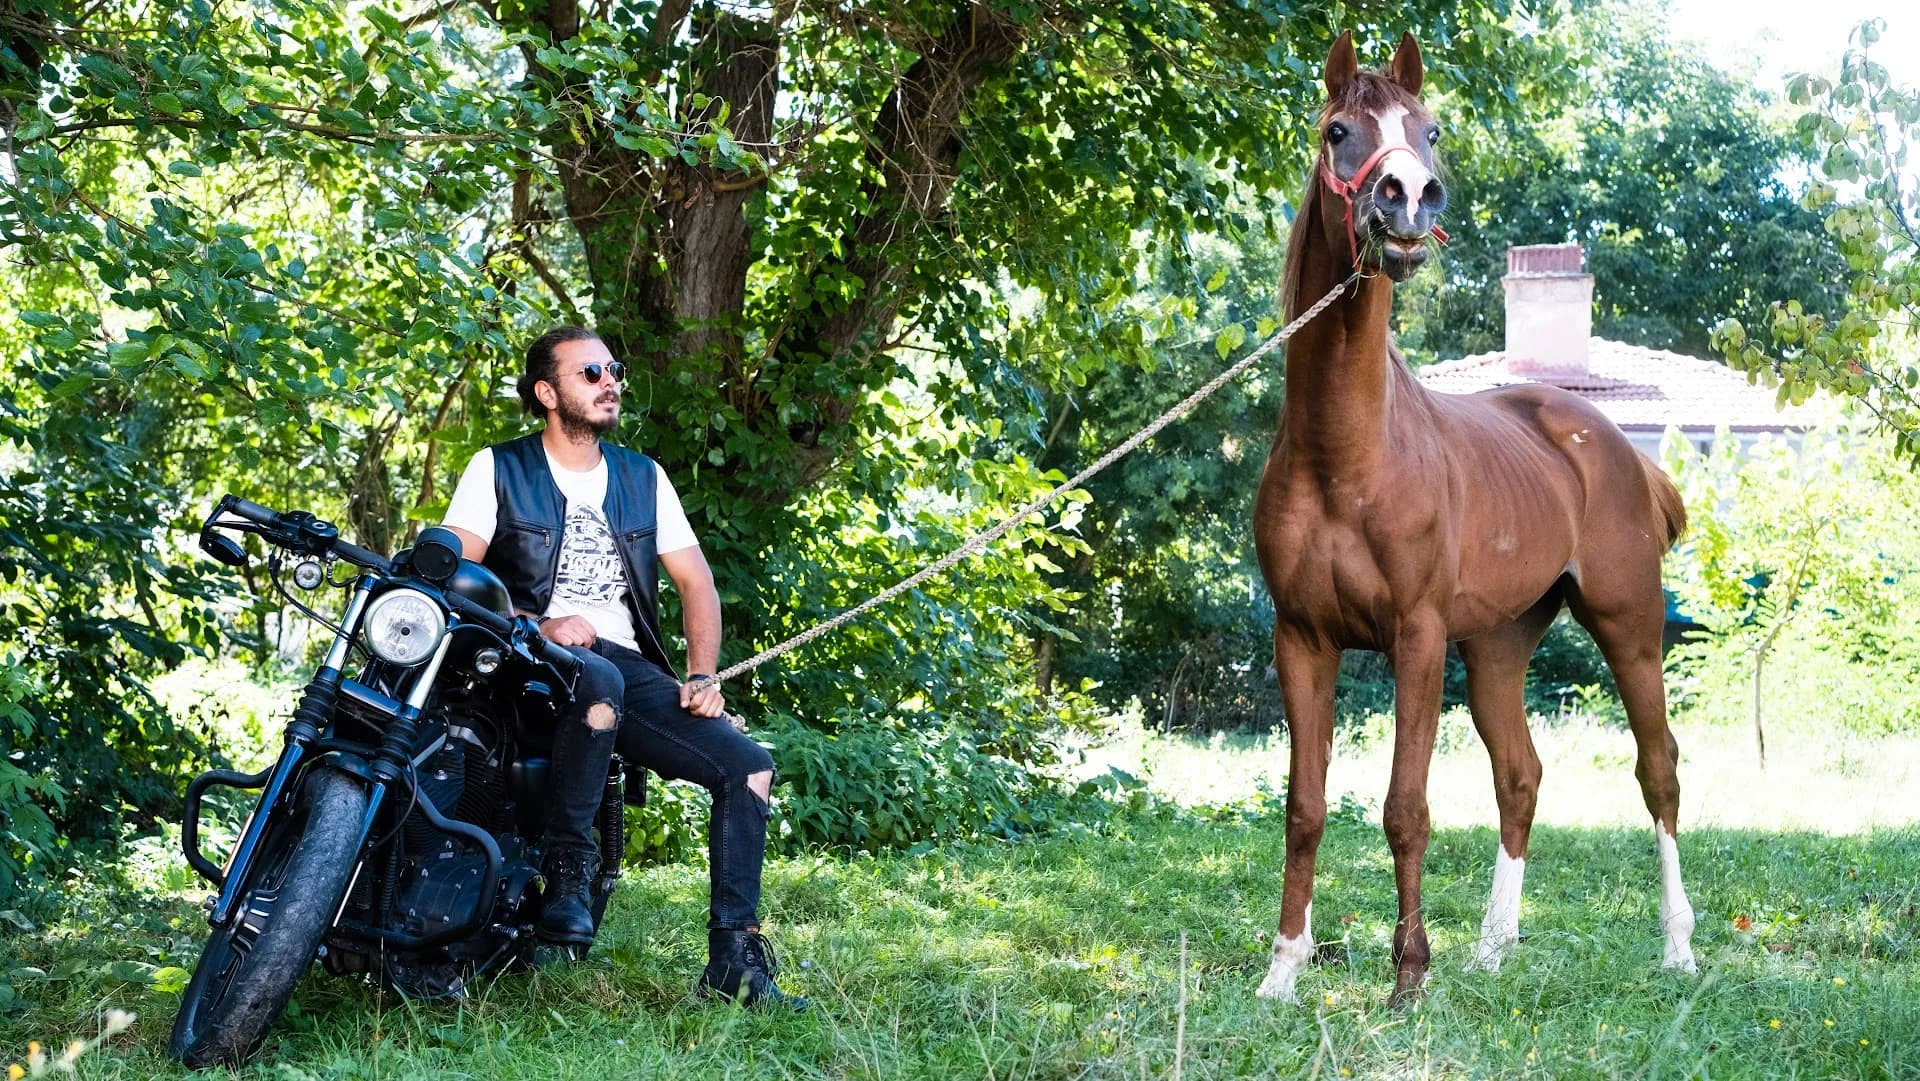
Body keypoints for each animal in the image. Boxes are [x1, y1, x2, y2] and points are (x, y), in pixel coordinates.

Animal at [1252, 31, 1697, 1003]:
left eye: (1430, 129)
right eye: (1338, 129)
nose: (1409, 197)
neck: (1347, 458)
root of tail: (1615, 446)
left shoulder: (1415, 636)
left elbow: (1405, 807)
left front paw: (1409, 976)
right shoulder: (1301, 638)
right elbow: (1305, 806)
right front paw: (1283, 969)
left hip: (1628, 627)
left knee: (1659, 770)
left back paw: (1680, 948)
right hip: (1497, 646)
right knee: (1520, 775)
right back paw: (1494, 944)